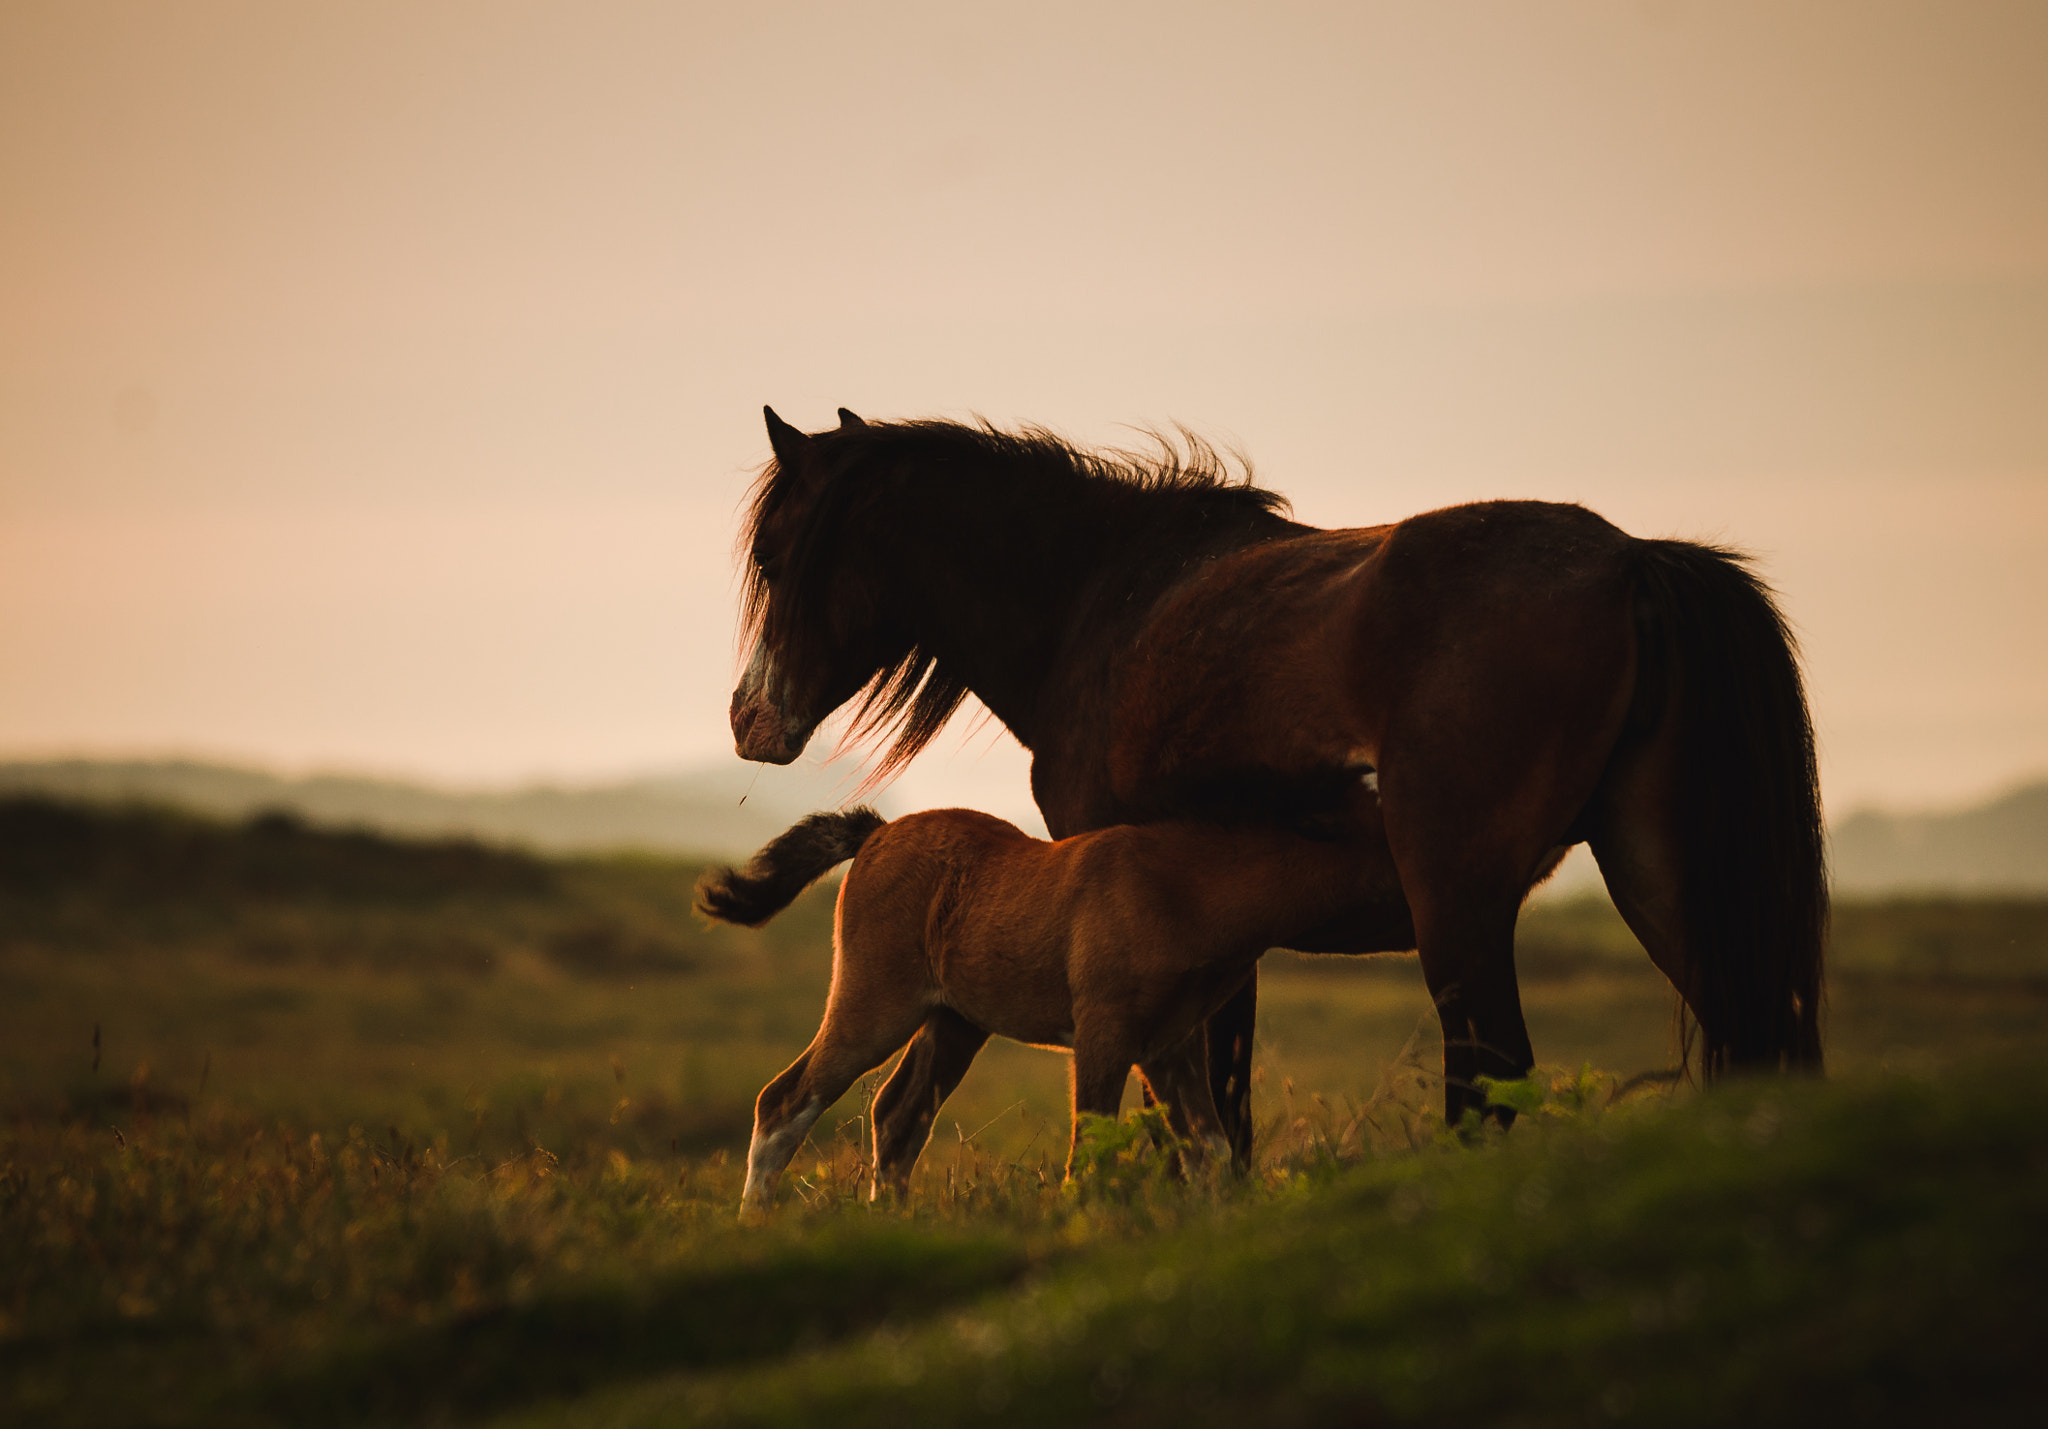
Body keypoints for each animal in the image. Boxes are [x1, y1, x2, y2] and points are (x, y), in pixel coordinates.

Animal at [694, 806, 1388, 1208]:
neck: (1183, 887)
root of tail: (879, 832)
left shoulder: (1170, 1047)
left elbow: (1210, 1150)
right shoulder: (1105, 1033)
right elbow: (1093, 1143)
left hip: (955, 1023)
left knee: (896, 1115)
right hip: (874, 1007)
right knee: (785, 1099)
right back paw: (756, 1225)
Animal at [726, 407, 1826, 1164]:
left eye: (775, 555)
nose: (747, 719)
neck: (1102, 599)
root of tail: (1632, 561)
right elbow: (1224, 1108)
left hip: (1460, 901)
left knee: (1489, 1071)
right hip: (1654, 873)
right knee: (1750, 1031)